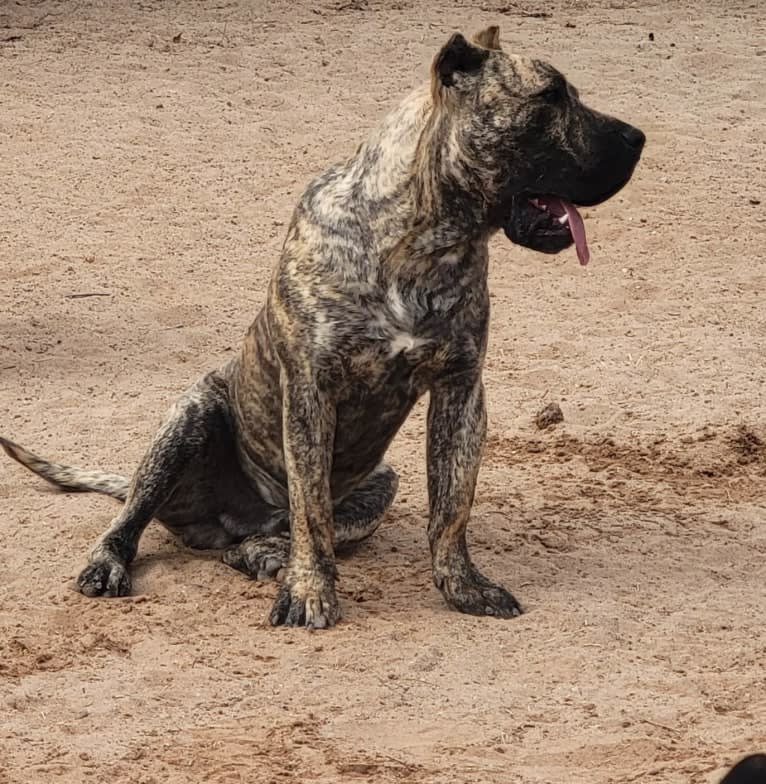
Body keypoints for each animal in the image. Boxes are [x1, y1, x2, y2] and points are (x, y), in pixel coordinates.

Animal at [1, 26, 648, 632]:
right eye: (550, 97)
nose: (639, 138)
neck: (421, 245)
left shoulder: (461, 391)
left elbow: (450, 508)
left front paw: (463, 587)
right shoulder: (312, 390)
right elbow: (311, 508)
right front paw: (310, 594)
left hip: (379, 479)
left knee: (269, 537)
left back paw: (263, 552)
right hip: (189, 418)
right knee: (137, 514)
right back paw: (114, 561)